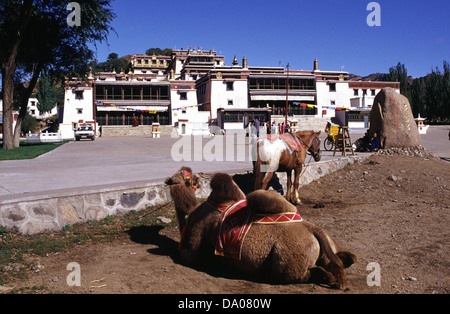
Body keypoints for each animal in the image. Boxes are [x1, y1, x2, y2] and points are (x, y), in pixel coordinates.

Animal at [164, 168, 356, 288]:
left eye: (188, 178)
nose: (168, 180)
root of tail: (315, 231)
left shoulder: (194, 245)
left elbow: (187, 254)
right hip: (325, 246)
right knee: (337, 261)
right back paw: (345, 264)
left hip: (287, 263)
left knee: (300, 274)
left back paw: (328, 277)